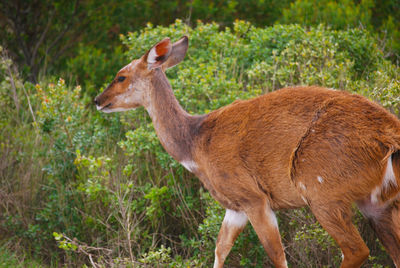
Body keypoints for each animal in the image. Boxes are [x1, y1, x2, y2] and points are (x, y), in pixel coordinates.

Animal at [94, 36, 400, 268]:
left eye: (121, 76)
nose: (98, 100)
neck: (196, 145)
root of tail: (390, 137)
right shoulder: (234, 206)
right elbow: (220, 248)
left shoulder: (254, 198)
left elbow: (277, 256)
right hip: (378, 202)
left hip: (321, 190)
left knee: (356, 250)